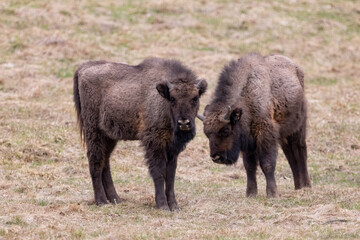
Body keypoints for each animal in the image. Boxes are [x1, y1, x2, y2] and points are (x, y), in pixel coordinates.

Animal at [73, 58, 207, 210]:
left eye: (195, 98)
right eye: (172, 99)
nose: (184, 123)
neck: (162, 101)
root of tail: (83, 68)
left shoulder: (173, 148)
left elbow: (171, 175)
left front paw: (174, 206)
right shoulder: (154, 143)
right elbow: (159, 172)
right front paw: (163, 205)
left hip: (109, 137)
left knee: (104, 162)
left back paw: (115, 199)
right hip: (94, 132)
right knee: (95, 161)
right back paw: (101, 201)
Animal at [198, 52, 310, 197]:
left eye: (226, 130)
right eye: (206, 133)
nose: (216, 157)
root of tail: (297, 69)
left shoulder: (265, 137)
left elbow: (267, 164)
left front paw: (272, 194)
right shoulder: (248, 143)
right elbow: (249, 167)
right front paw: (250, 194)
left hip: (298, 128)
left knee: (300, 151)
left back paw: (306, 186)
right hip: (284, 136)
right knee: (290, 155)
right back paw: (298, 187)